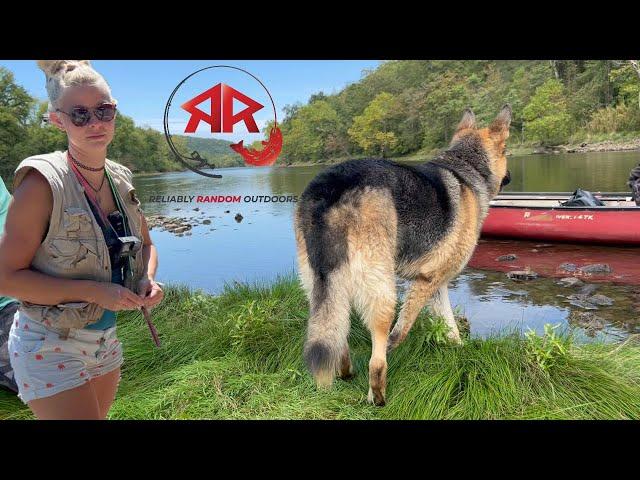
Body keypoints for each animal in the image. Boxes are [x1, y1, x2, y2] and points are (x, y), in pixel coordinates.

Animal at [296, 104, 516, 404]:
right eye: (506, 151)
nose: (512, 177)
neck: (466, 167)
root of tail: (333, 188)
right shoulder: (427, 281)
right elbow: (400, 331)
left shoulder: (436, 284)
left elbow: (449, 324)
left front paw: (459, 350)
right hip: (381, 289)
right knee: (377, 361)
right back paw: (376, 397)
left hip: (320, 285)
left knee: (335, 333)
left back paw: (345, 371)